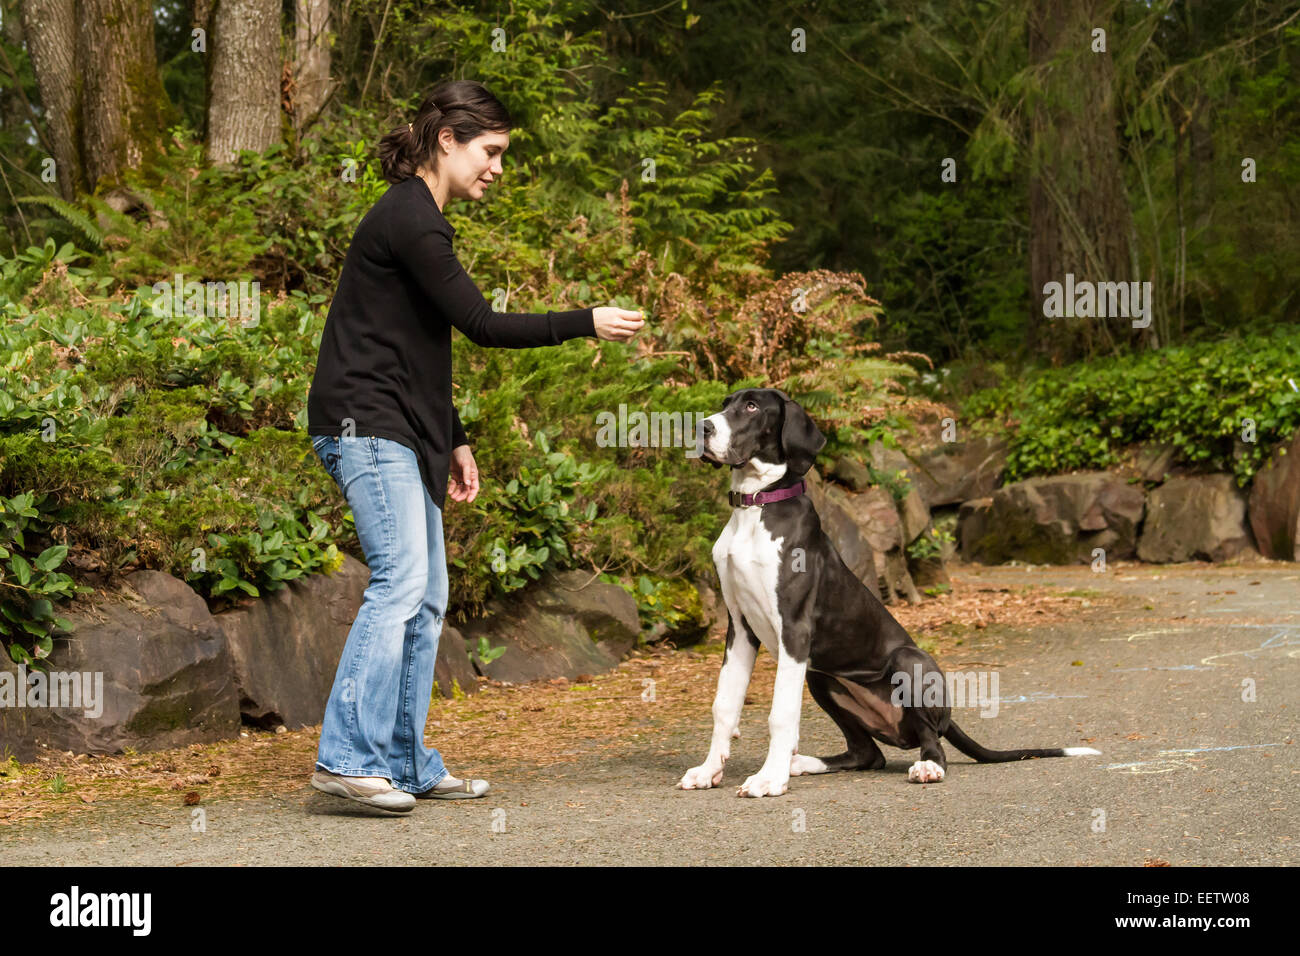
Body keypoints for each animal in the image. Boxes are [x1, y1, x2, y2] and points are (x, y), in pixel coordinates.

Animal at [681, 390, 1097, 801]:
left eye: (752, 407)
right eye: (726, 403)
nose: (701, 427)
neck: (756, 509)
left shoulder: (795, 629)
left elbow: (780, 713)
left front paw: (769, 779)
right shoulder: (740, 629)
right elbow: (724, 705)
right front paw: (709, 770)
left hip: (907, 661)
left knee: (931, 740)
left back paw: (927, 767)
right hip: (821, 677)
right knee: (867, 753)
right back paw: (802, 763)